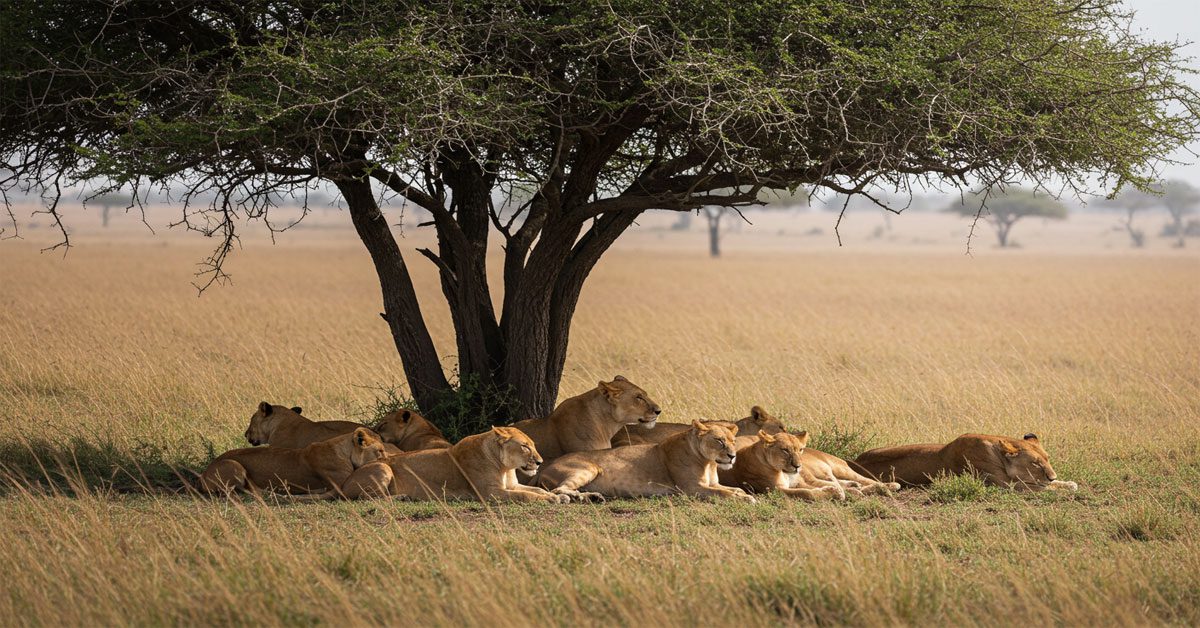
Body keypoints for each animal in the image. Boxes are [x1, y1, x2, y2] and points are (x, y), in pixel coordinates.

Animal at [334, 426, 568, 503]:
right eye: (524, 446)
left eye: (533, 445)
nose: (540, 462)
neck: (504, 467)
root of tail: (344, 483)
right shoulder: (491, 493)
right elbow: (525, 495)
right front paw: (551, 499)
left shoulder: (511, 485)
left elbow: (535, 489)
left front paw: (559, 495)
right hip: (383, 467)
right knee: (367, 498)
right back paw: (400, 497)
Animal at [537, 421, 755, 503]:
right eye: (719, 440)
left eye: (733, 441)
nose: (732, 456)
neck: (709, 463)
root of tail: (544, 468)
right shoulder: (691, 488)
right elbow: (725, 493)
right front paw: (747, 499)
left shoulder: (712, 483)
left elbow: (735, 488)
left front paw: (743, 494)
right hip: (589, 468)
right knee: (558, 489)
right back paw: (578, 497)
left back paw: (592, 496)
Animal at [853, 433, 1079, 491]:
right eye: (1036, 464)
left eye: (1047, 459)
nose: (1052, 476)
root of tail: (855, 460)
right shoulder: (1004, 484)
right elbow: (1041, 488)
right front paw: (1059, 487)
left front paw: (1068, 483)